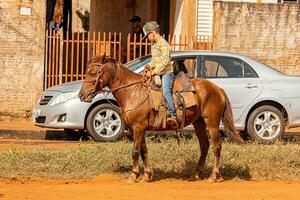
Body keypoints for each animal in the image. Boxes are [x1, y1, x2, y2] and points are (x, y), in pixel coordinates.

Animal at [78, 55, 243, 183]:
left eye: (93, 72)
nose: (82, 95)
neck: (132, 91)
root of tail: (218, 89)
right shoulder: (139, 129)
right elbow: (143, 151)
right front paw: (147, 175)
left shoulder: (138, 128)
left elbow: (135, 151)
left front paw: (134, 176)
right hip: (199, 123)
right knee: (204, 146)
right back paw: (197, 174)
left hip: (212, 123)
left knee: (216, 147)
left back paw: (214, 176)